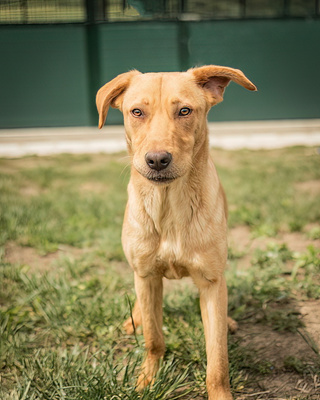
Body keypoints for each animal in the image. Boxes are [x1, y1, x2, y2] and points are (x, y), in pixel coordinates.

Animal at [96, 66, 256, 400]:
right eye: (136, 112)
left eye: (184, 111)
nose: (157, 160)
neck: (168, 206)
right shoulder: (146, 275)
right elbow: (154, 338)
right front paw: (147, 378)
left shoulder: (210, 281)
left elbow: (217, 357)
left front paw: (219, 392)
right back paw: (135, 320)